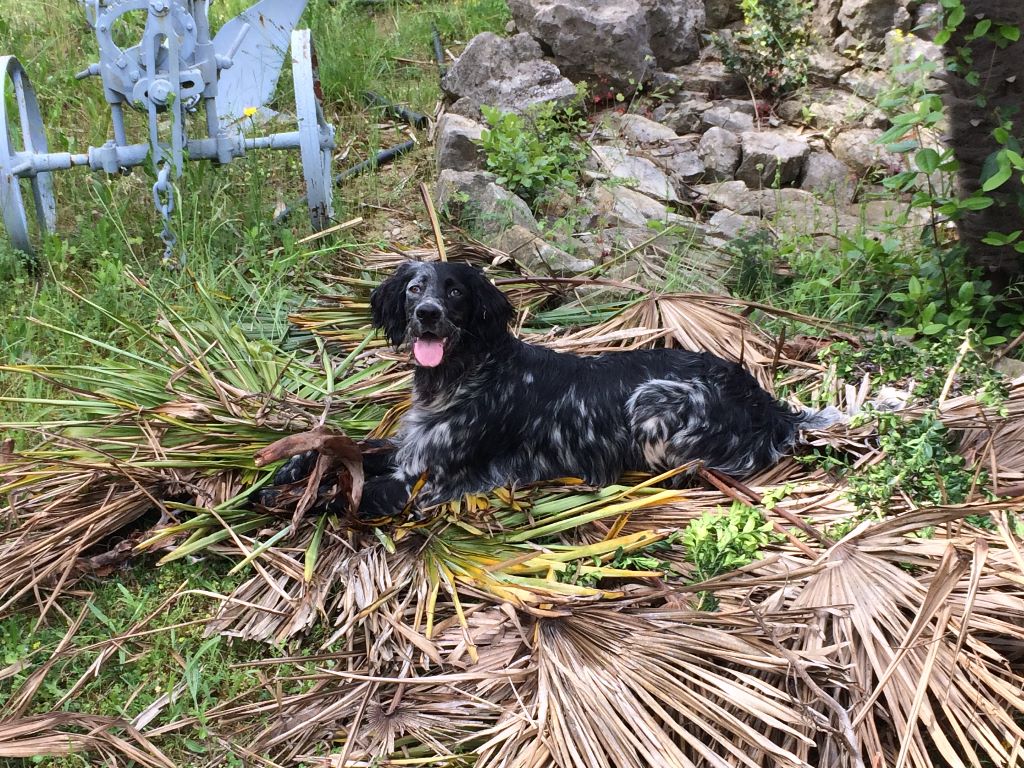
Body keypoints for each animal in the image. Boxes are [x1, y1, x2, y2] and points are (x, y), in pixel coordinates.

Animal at [268, 262, 835, 520]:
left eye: (455, 291)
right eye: (414, 288)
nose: (427, 314)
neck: (465, 374)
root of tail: (771, 405)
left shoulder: (425, 483)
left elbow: (345, 492)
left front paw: (295, 496)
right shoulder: (411, 449)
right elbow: (346, 452)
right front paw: (291, 469)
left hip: (653, 398)